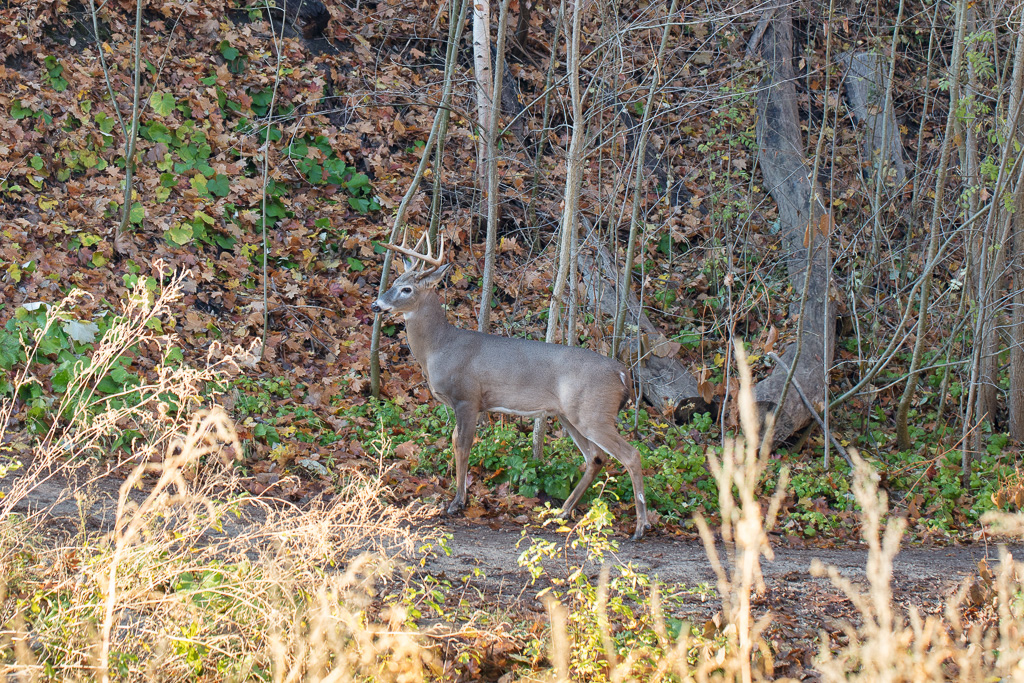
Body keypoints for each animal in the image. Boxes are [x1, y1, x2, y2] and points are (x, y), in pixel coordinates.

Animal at [372, 232, 651, 540]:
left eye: (406, 289)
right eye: (394, 282)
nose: (376, 305)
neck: (440, 348)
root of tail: (622, 373)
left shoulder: (468, 398)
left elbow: (462, 445)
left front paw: (457, 502)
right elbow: (457, 442)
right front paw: (458, 498)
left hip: (595, 413)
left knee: (631, 454)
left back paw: (641, 526)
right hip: (569, 415)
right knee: (596, 457)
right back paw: (563, 512)